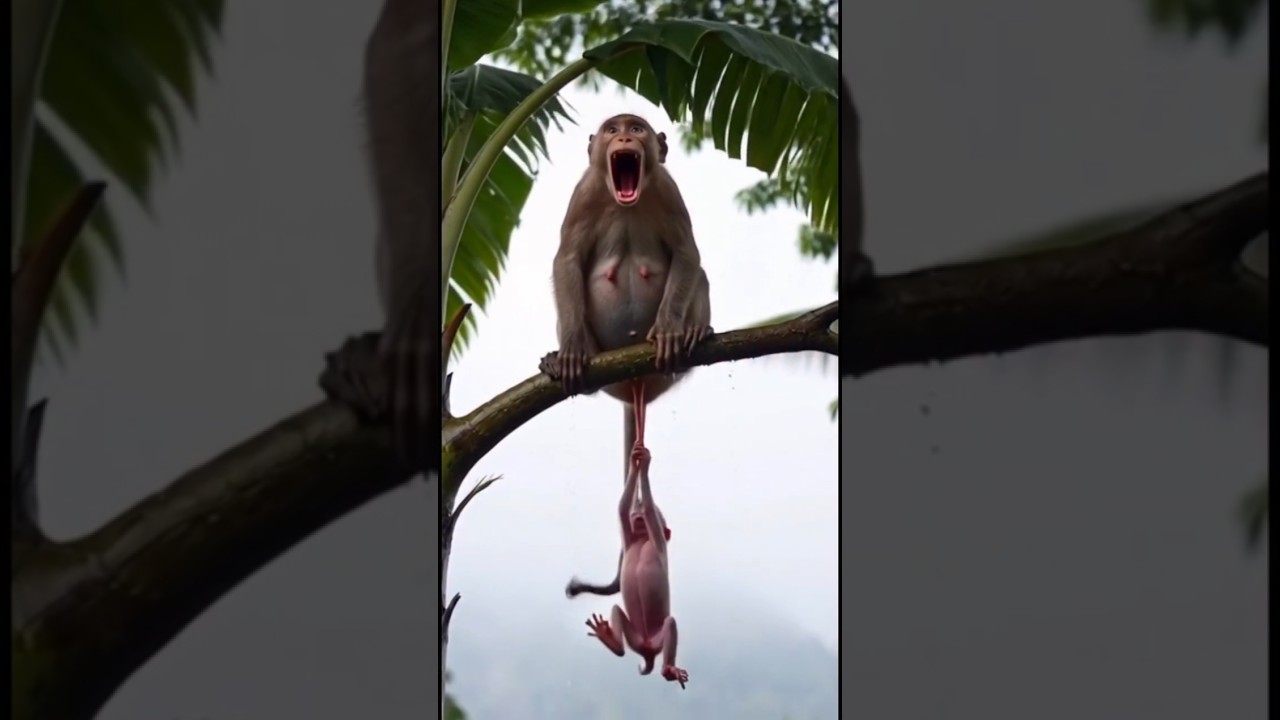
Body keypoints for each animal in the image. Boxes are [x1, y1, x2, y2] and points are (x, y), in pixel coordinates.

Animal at [582, 442, 689, 689]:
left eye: (659, 512)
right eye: (635, 512)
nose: (637, 510)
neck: (641, 540)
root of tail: (647, 651)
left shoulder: (657, 537)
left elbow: (649, 514)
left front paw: (645, 462)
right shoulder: (629, 536)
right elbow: (621, 509)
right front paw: (635, 460)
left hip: (660, 636)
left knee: (670, 625)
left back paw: (669, 668)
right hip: (634, 636)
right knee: (616, 613)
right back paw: (611, 639)